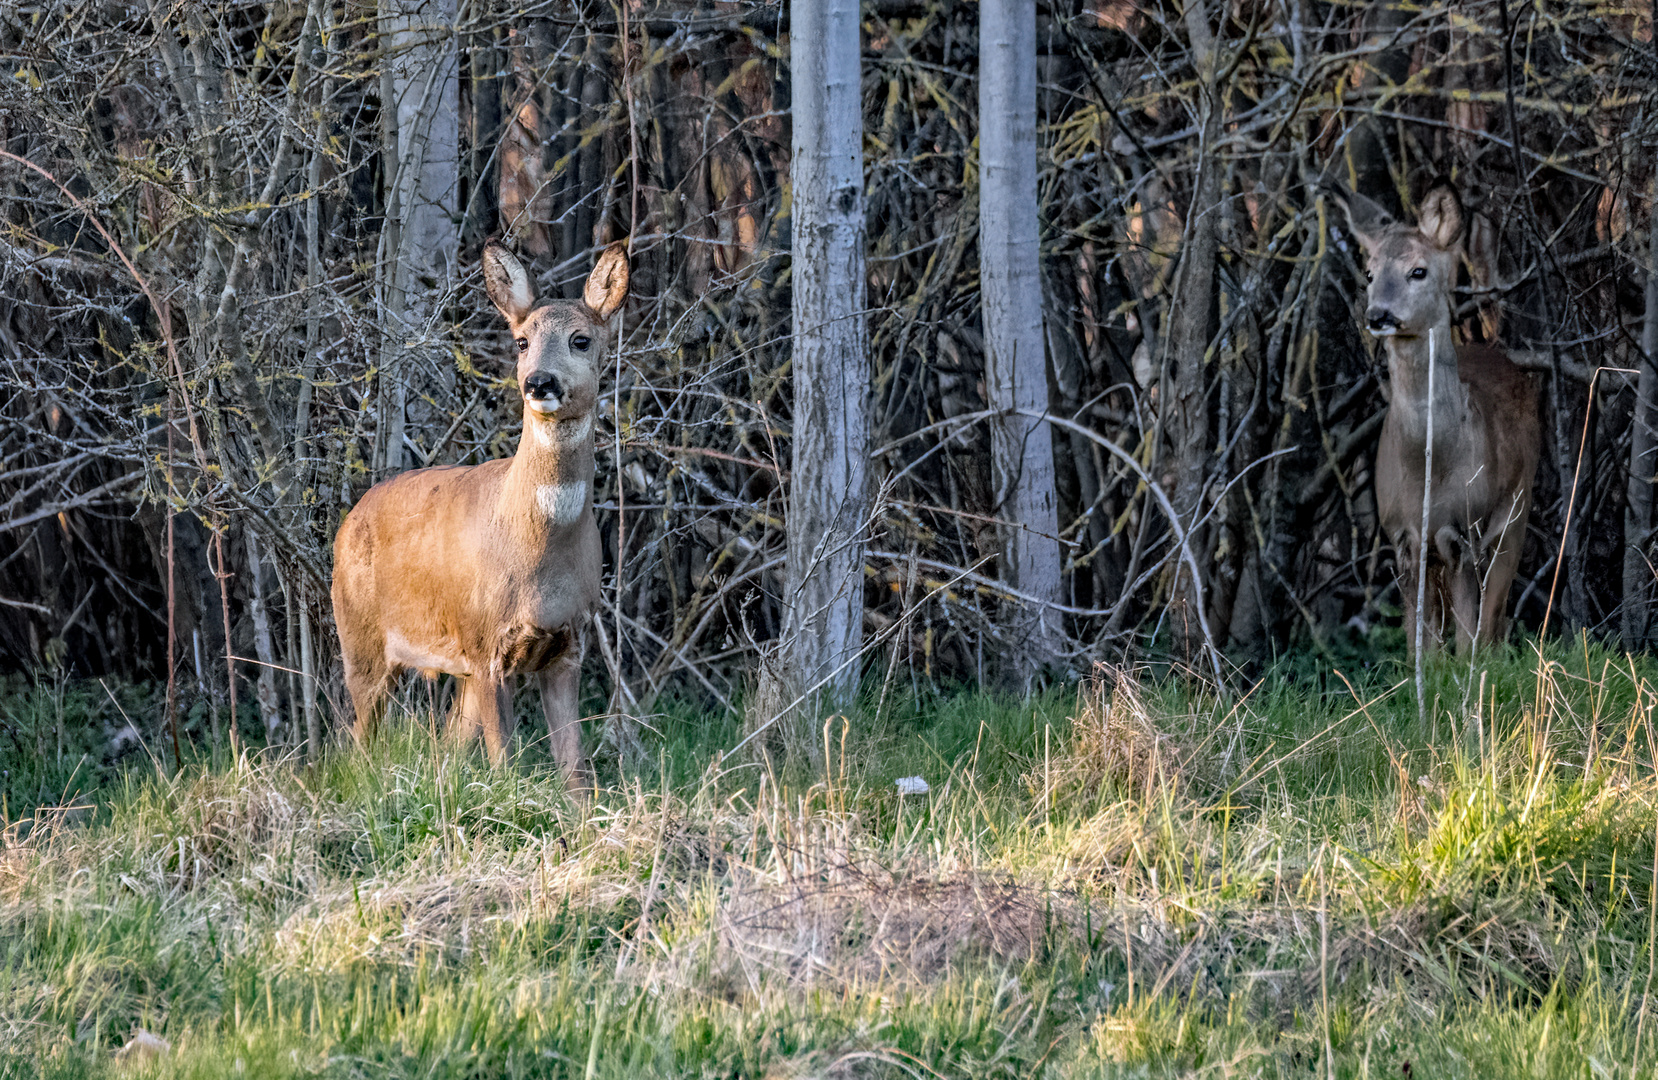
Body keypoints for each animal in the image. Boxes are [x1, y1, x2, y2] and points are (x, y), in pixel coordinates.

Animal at [329, 242, 626, 786]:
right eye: (521, 341)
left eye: (581, 339)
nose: (538, 382)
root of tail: (351, 516)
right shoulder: (487, 644)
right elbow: (504, 762)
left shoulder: (568, 645)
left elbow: (574, 769)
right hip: (360, 637)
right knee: (359, 739)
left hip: (456, 664)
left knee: (448, 740)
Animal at [1339, 182, 1545, 653]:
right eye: (1370, 274)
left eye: (1418, 271)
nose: (1378, 315)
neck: (1429, 470)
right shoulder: (1403, 537)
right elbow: (1422, 643)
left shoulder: (1465, 530)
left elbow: (1469, 634)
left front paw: (1470, 673)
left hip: (1517, 511)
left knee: (1494, 616)